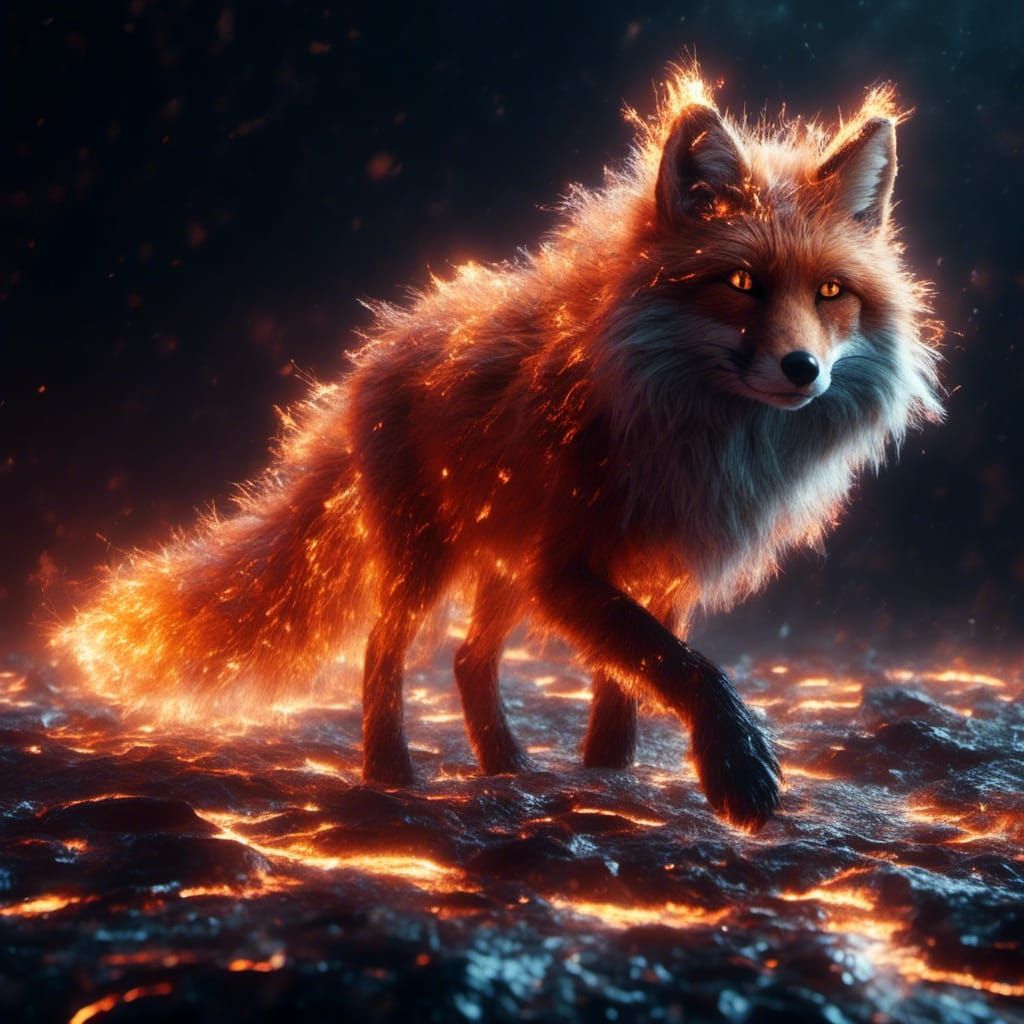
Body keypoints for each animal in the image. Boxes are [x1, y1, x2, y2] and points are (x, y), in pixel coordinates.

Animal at [56, 67, 942, 831]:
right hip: (432, 560)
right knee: (386, 652)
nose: (803, 370)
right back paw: (390, 772)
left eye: (830, 293)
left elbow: (631, 677)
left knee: (467, 660)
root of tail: (375, 352)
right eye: (742, 285)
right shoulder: (567, 565)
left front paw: (609, 771)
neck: (695, 429)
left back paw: (503, 764)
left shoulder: (661, 564)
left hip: (503, 565)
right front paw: (734, 768)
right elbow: (682, 667)